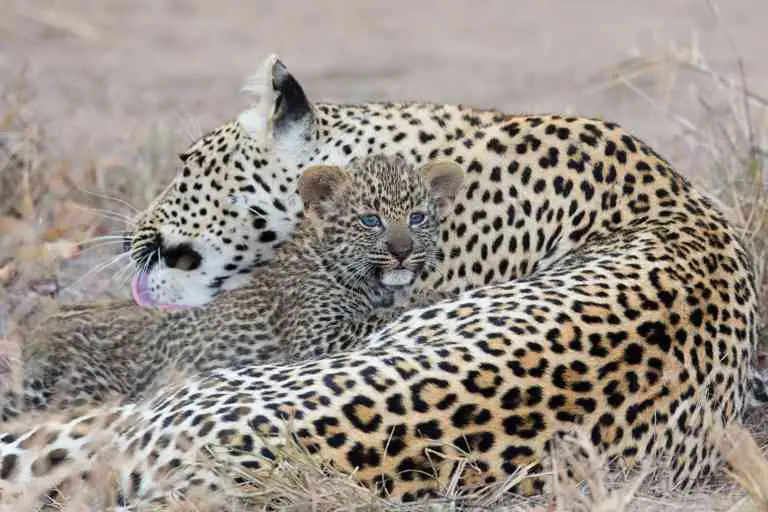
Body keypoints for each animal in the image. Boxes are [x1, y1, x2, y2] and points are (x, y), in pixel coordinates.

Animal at [0, 154, 463, 421]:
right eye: (370, 220)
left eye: (418, 218)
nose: (402, 251)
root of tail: (32, 334)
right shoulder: (315, 338)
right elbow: (379, 316)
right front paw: (436, 296)